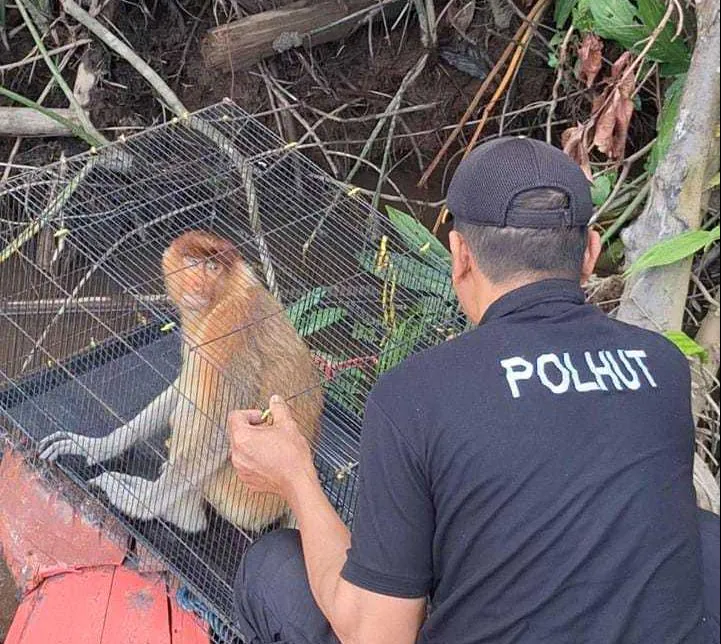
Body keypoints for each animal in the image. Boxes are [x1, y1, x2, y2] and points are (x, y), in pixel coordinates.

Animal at [38, 231, 320, 532]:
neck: (223, 297)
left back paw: (184, 517)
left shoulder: (230, 326)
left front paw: (140, 505)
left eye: (213, 267)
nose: (197, 283)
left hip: (243, 496)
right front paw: (99, 446)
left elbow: (220, 429)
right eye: (192, 262)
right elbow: (184, 385)